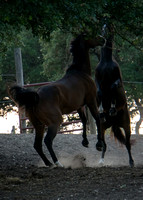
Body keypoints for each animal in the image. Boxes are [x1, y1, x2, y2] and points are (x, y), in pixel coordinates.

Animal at [8, 34, 105, 167]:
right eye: (91, 34)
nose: (103, 39)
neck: (80, 73)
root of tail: (37, 97)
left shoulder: (79, 106)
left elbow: (84, 120)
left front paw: (85, 142)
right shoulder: (91, 101)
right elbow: (97, 118)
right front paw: (99, 145)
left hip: (39, 125)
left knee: (37, 145)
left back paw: (49, 163)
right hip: (55, 122)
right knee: (47, 141)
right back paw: (58, 163)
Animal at [95, 31, 134, 167]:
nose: (103, 37)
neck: (106, 61)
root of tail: (114, 122)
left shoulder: (118, 79)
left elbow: (112, 87)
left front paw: (112, 108)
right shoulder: (97, 79)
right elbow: (99, 92)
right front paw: (102, 109)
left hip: (126, 126)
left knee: (127, 144)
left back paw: (131, 162)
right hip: (102, 127)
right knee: (104, 145)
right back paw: (100, 161)